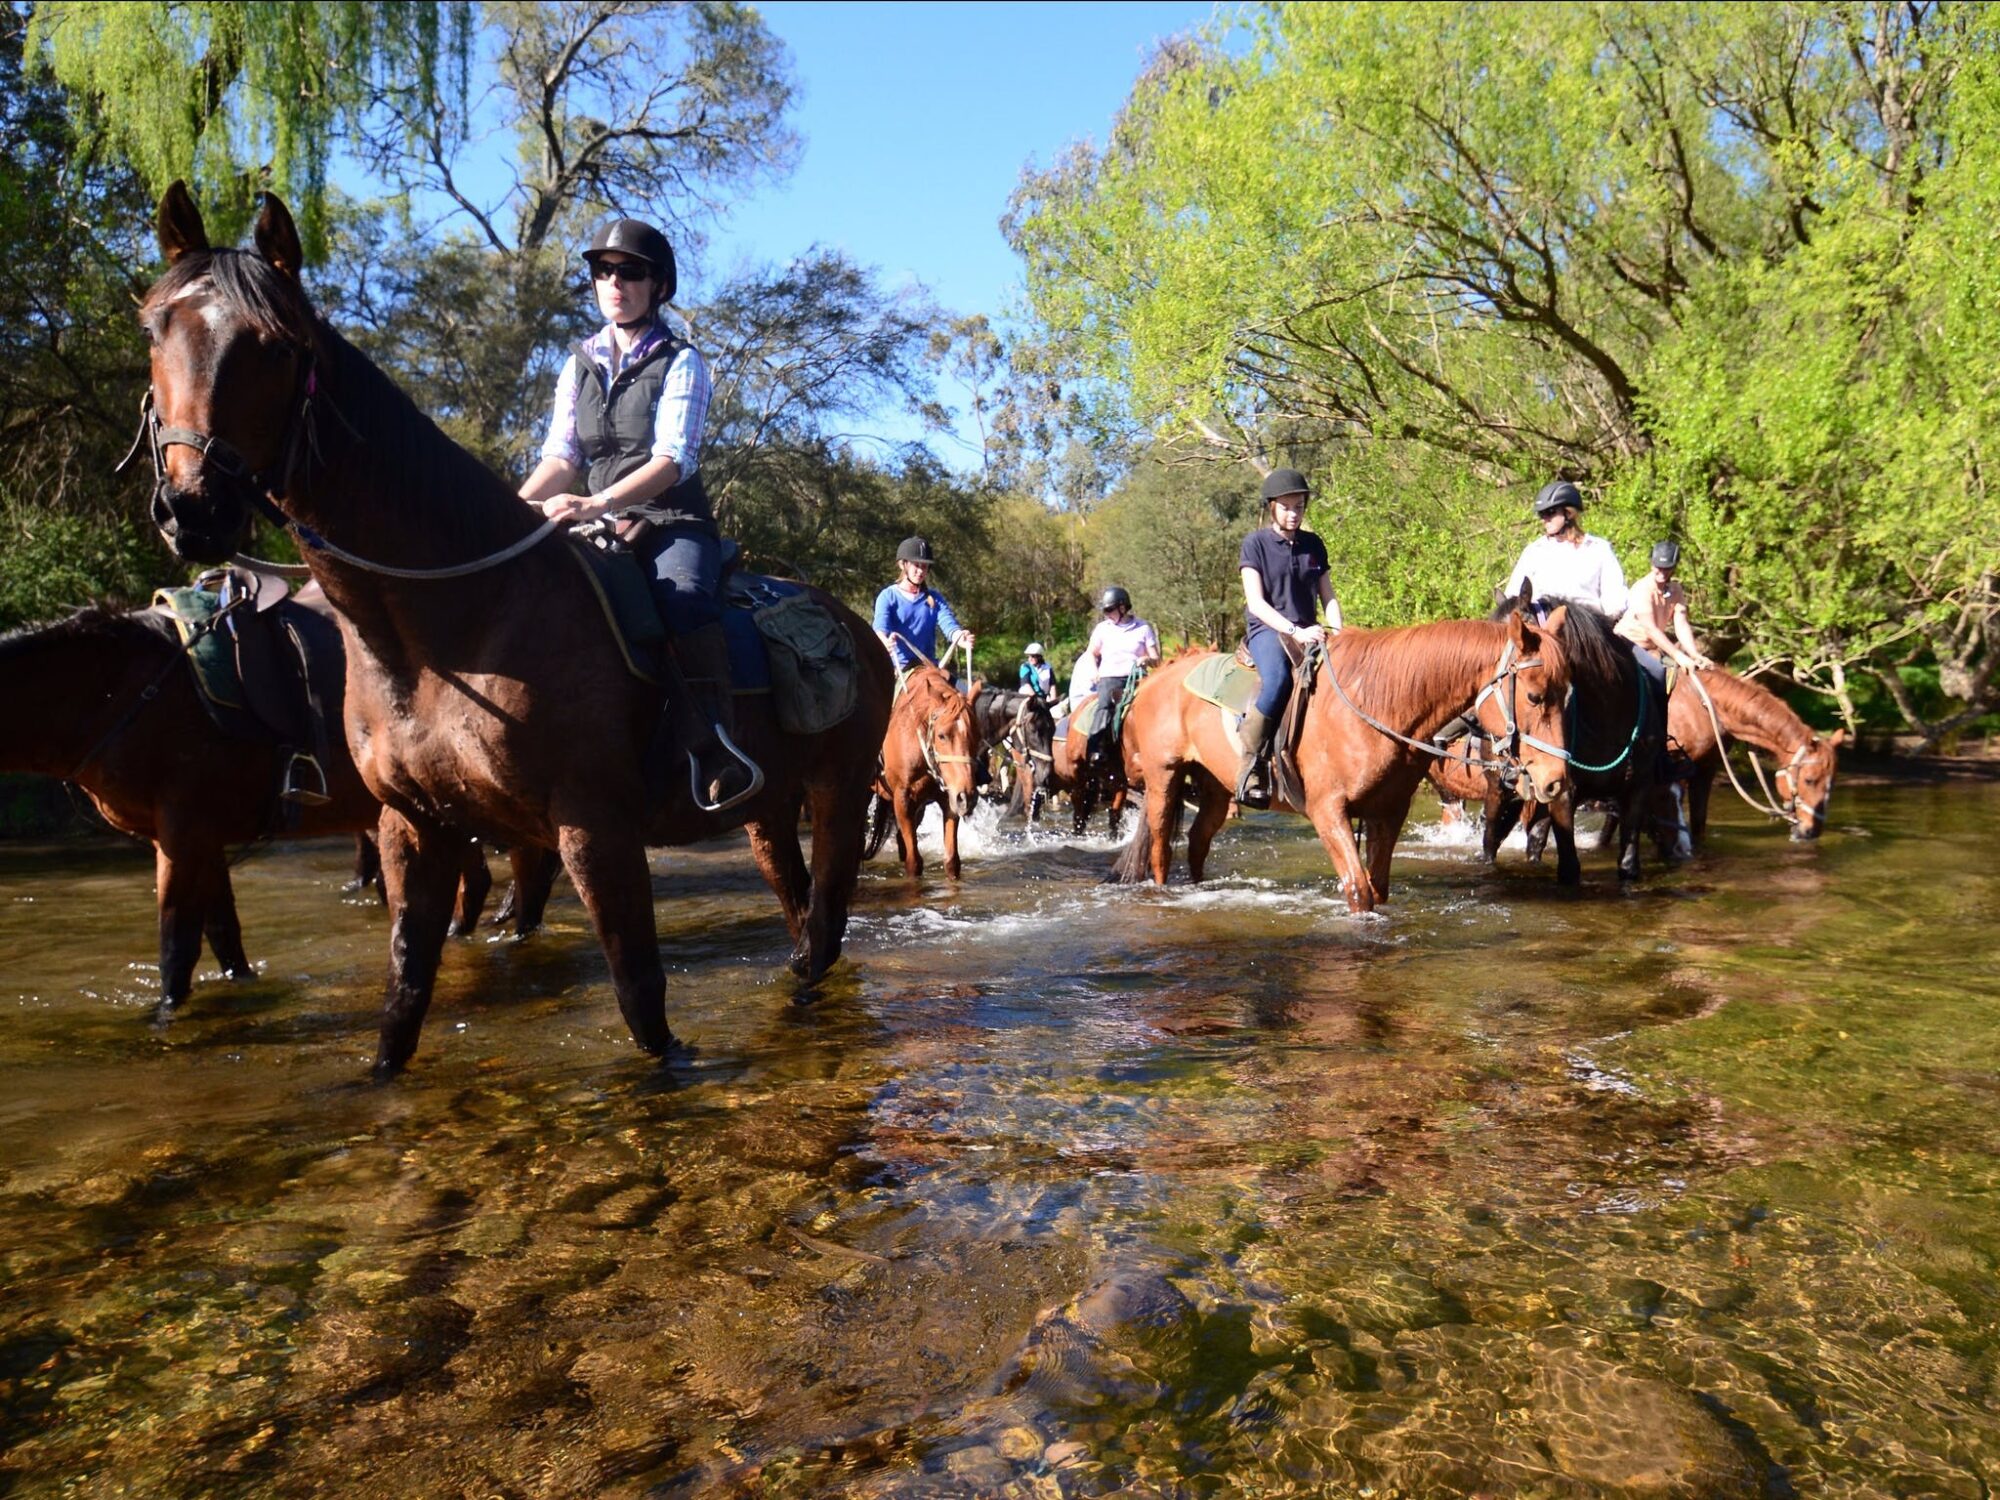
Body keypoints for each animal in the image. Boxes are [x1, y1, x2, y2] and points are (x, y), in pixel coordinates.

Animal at [0, 603, 493, 1006]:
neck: (121, 694)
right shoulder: (200, 837)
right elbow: (224, 935)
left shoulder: (181, 833)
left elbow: (176, 946)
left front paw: (165, 1013)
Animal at [136, 184, 894, 1075]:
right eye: (155, 328)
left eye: (276, 345)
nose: (193, 510)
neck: (450, 632)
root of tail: (860, 632)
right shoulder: (413, 828)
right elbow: (403, 996)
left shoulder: (593, 828)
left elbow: (641, 995)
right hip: (769, 810)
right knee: (803, 918)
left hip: (839, 793)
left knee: (825, 927)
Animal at [868, 666, 981, 880]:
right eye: (942, 735)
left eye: (978, 736)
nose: (967, 797)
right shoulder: (902, 799)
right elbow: (914, 862)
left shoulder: (949, 798)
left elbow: (952, 861)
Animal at [1111, 609, 1574, 911]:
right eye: (1535, 696)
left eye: (1567, 693)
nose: (1555, 781)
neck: (1377, 704)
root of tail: (1154, 680)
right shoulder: (1328, 810)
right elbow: (1358, 890)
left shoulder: (1387, 811)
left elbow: (1378, 887)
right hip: (1164, 779)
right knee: (1160, 848)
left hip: (1215, 789)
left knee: (1197, 842)